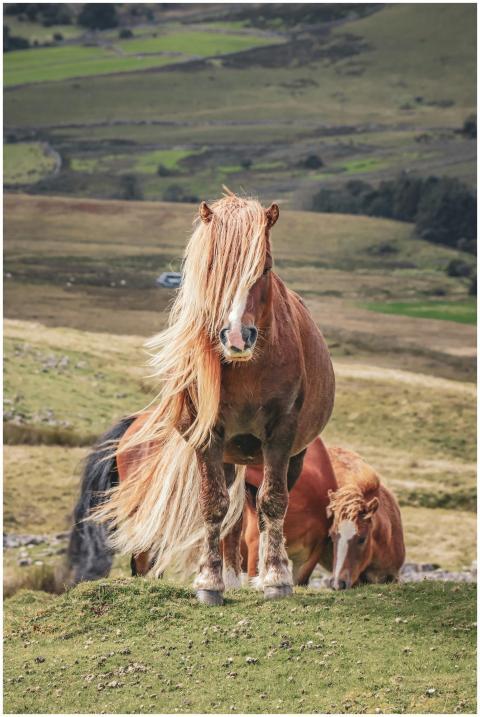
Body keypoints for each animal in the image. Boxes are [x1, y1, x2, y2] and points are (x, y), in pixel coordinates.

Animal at [68, 191, 335, 605]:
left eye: (264, 267)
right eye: (212, 265)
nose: (237, 337)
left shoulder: (281, 434)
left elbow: (273, 502)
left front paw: (276, 579)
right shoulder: (208, 435)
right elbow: (213, 505)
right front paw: (210, 583)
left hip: (292, 452)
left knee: (263, 507)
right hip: (229, 456)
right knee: (228, 518)